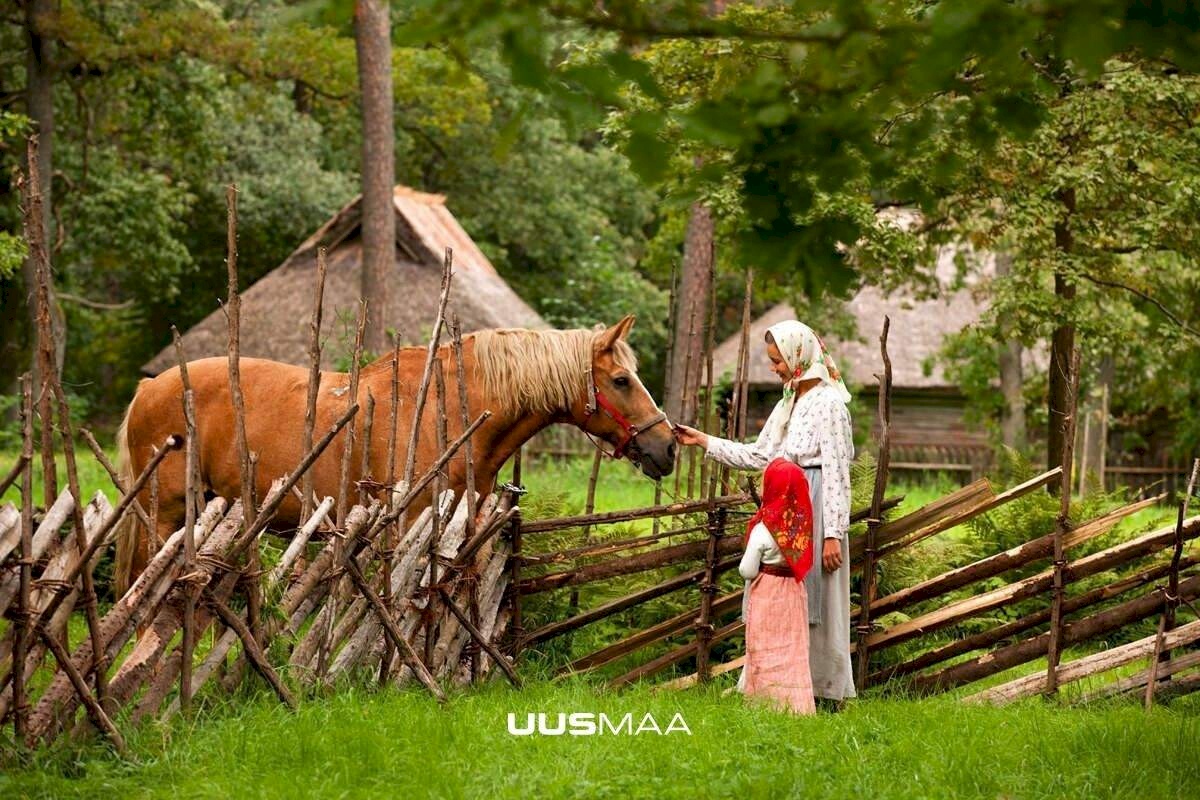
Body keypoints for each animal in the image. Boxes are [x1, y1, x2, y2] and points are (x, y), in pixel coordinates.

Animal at [114, 316, 676, 597]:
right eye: (621, 380)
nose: (668, 446)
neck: (451, 410)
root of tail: (148, 388)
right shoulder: (409, 524)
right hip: (163, 516)